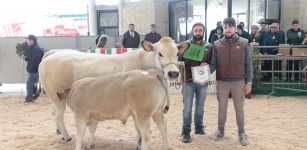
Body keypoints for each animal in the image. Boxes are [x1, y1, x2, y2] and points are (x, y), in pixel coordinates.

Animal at [38, 37, 188, 141]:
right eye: (160, 53)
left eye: (177, 53)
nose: (173, 73)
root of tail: (52, 54)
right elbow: (138, 129)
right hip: (57, 95)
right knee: (58, 115)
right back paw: (67, 136)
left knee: (54, 113)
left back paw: (59, 132)